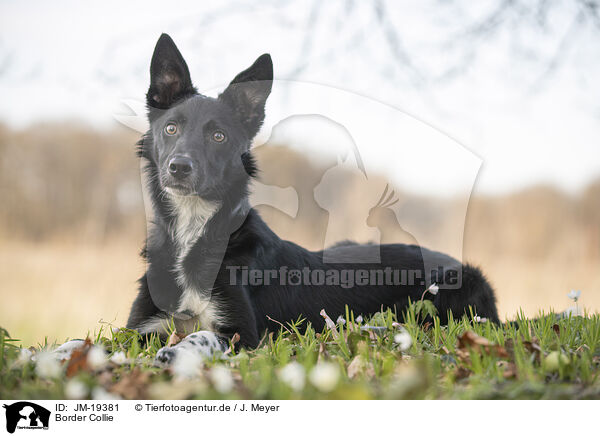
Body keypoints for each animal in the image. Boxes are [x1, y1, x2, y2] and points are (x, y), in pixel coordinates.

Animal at [124, 33, 500, 362]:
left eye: (219, 136)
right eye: (171, 128)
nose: (179, 167)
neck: (193, 232)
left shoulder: (244, 333)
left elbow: (201, 334)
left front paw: (176, 352)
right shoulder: (138, 328)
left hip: (456, 283)